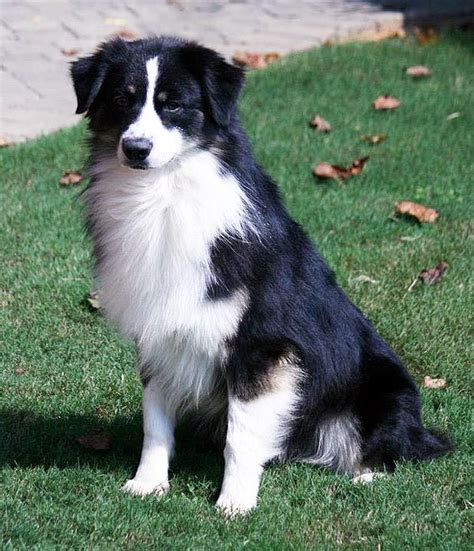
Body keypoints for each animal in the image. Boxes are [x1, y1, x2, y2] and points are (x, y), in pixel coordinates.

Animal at [70, 36, 452, 516]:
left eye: (173, 104)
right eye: (123, 99)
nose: (136, 148)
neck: (162, 195)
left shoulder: (263, 346)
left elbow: (241, 436)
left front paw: (234, 504)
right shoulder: (157, 332)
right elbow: (155, 421)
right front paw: (148, 483)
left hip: (383, 392)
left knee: (395, 449)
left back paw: (364, 476)